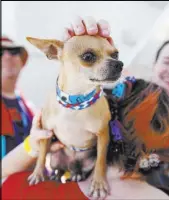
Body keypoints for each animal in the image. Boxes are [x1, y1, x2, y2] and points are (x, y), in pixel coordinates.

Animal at [27, 35, 123, 198]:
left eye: (116, 54)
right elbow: (41, 156)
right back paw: (57, 175)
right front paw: (38, 173)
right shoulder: (46, 132)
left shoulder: (103, 134)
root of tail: (70, 164)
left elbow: (101, 161)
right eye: (88, 56)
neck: (75, 101)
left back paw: (77, 174)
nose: (119, 64)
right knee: (59, 168)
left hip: (87, 161)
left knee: (79, 169)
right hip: (55, 158)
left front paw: (98, 184)